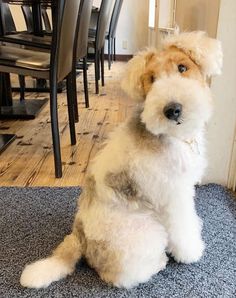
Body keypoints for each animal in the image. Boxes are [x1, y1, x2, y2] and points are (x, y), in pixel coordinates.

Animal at [19, 31, 221, 290]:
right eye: (152, 79)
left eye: (182, 67)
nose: (172, 110)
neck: (174, 137)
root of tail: (79, 237)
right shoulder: (174, 196)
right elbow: (184, 227)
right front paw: (191, 252)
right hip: (145, 233)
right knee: (119, 276)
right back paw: (156, 264)